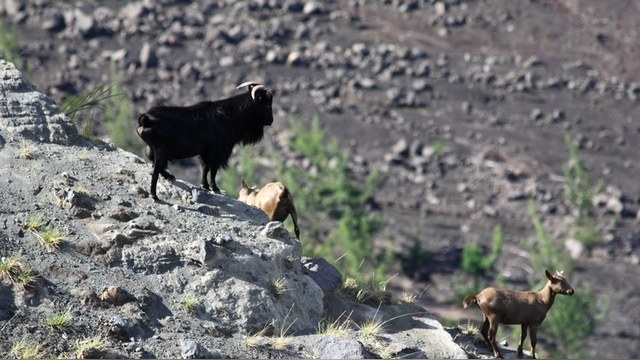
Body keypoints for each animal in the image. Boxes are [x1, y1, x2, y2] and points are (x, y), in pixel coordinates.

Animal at [138, 81, 272, 200]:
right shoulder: (217, 152)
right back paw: (154, 195)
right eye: (266, 103)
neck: (229, 115)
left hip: (151, 149)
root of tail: (145, 121)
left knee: (156, 165)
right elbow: (213, 170)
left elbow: (205, 168)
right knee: (155, 171)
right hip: (160, 151)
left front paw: (205, 186)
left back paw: (170, 177)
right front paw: (215, 188)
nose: (271, 121)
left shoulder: (205, 152)